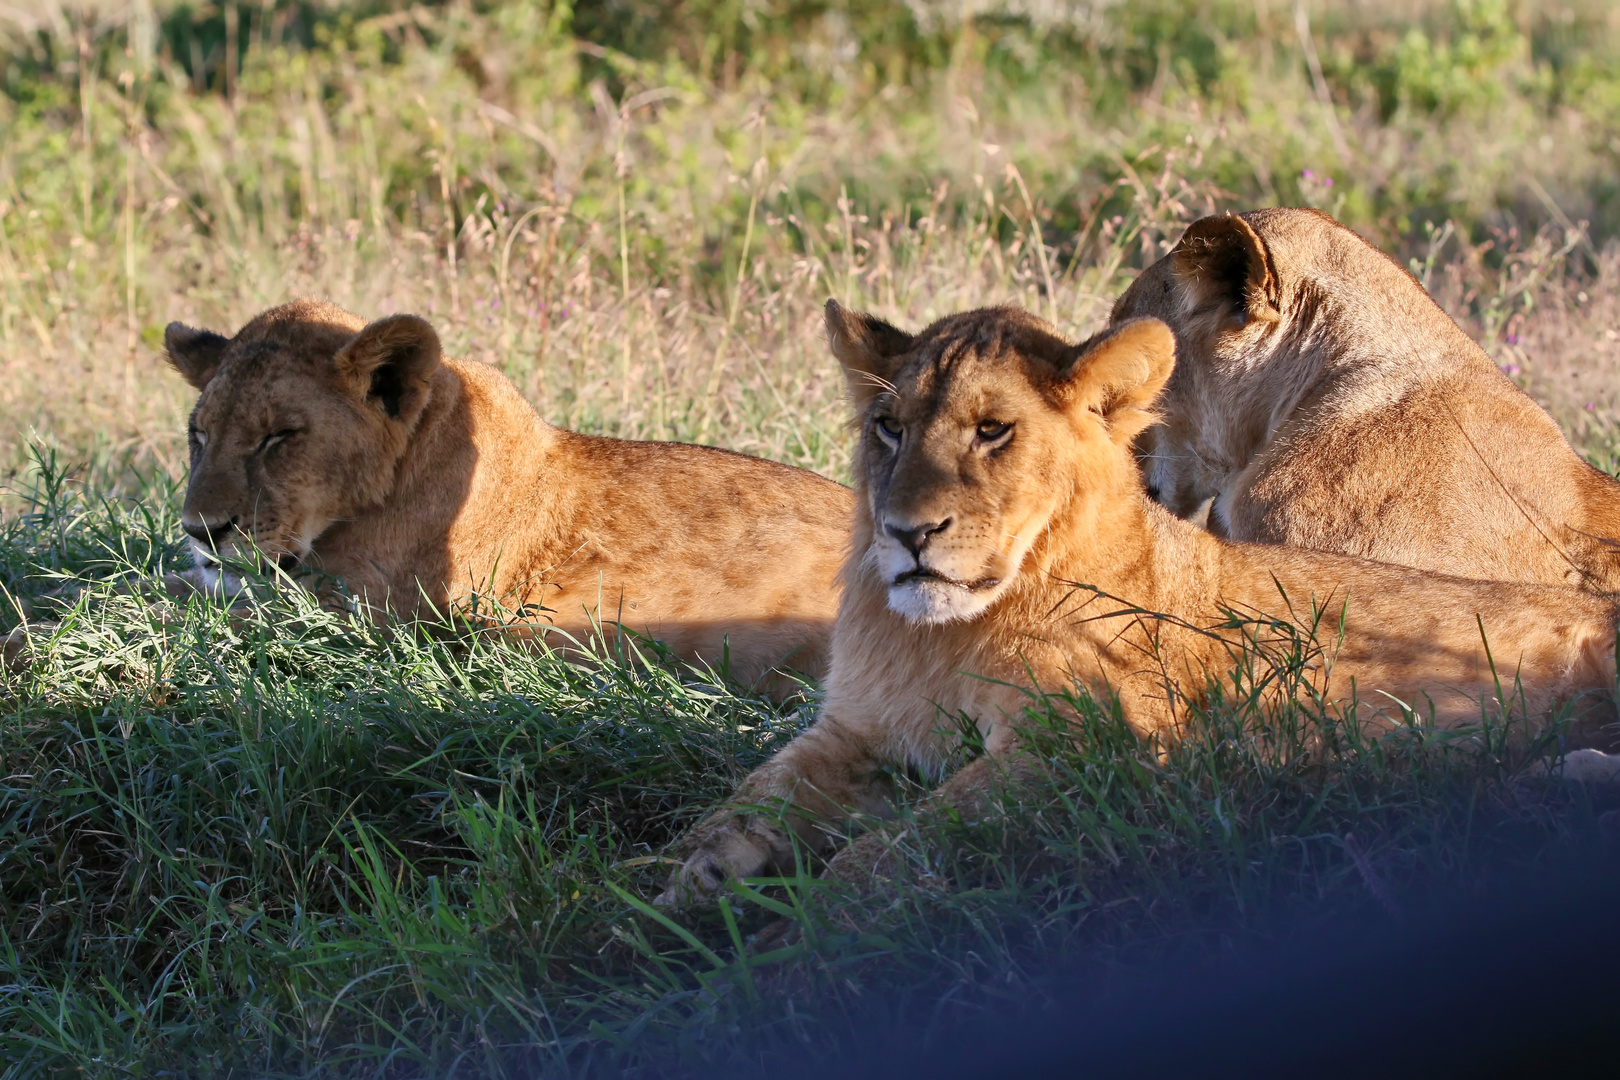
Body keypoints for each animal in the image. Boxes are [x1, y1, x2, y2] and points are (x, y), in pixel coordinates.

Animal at [660, 302, 1620, 906]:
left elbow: (907, 839)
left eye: (992, 430)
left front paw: (802, 924)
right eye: (888, 429)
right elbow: (747, 798)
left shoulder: (1097, 742)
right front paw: (666, 890)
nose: (908, 532)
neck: (942, 636)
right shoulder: (851, 728)